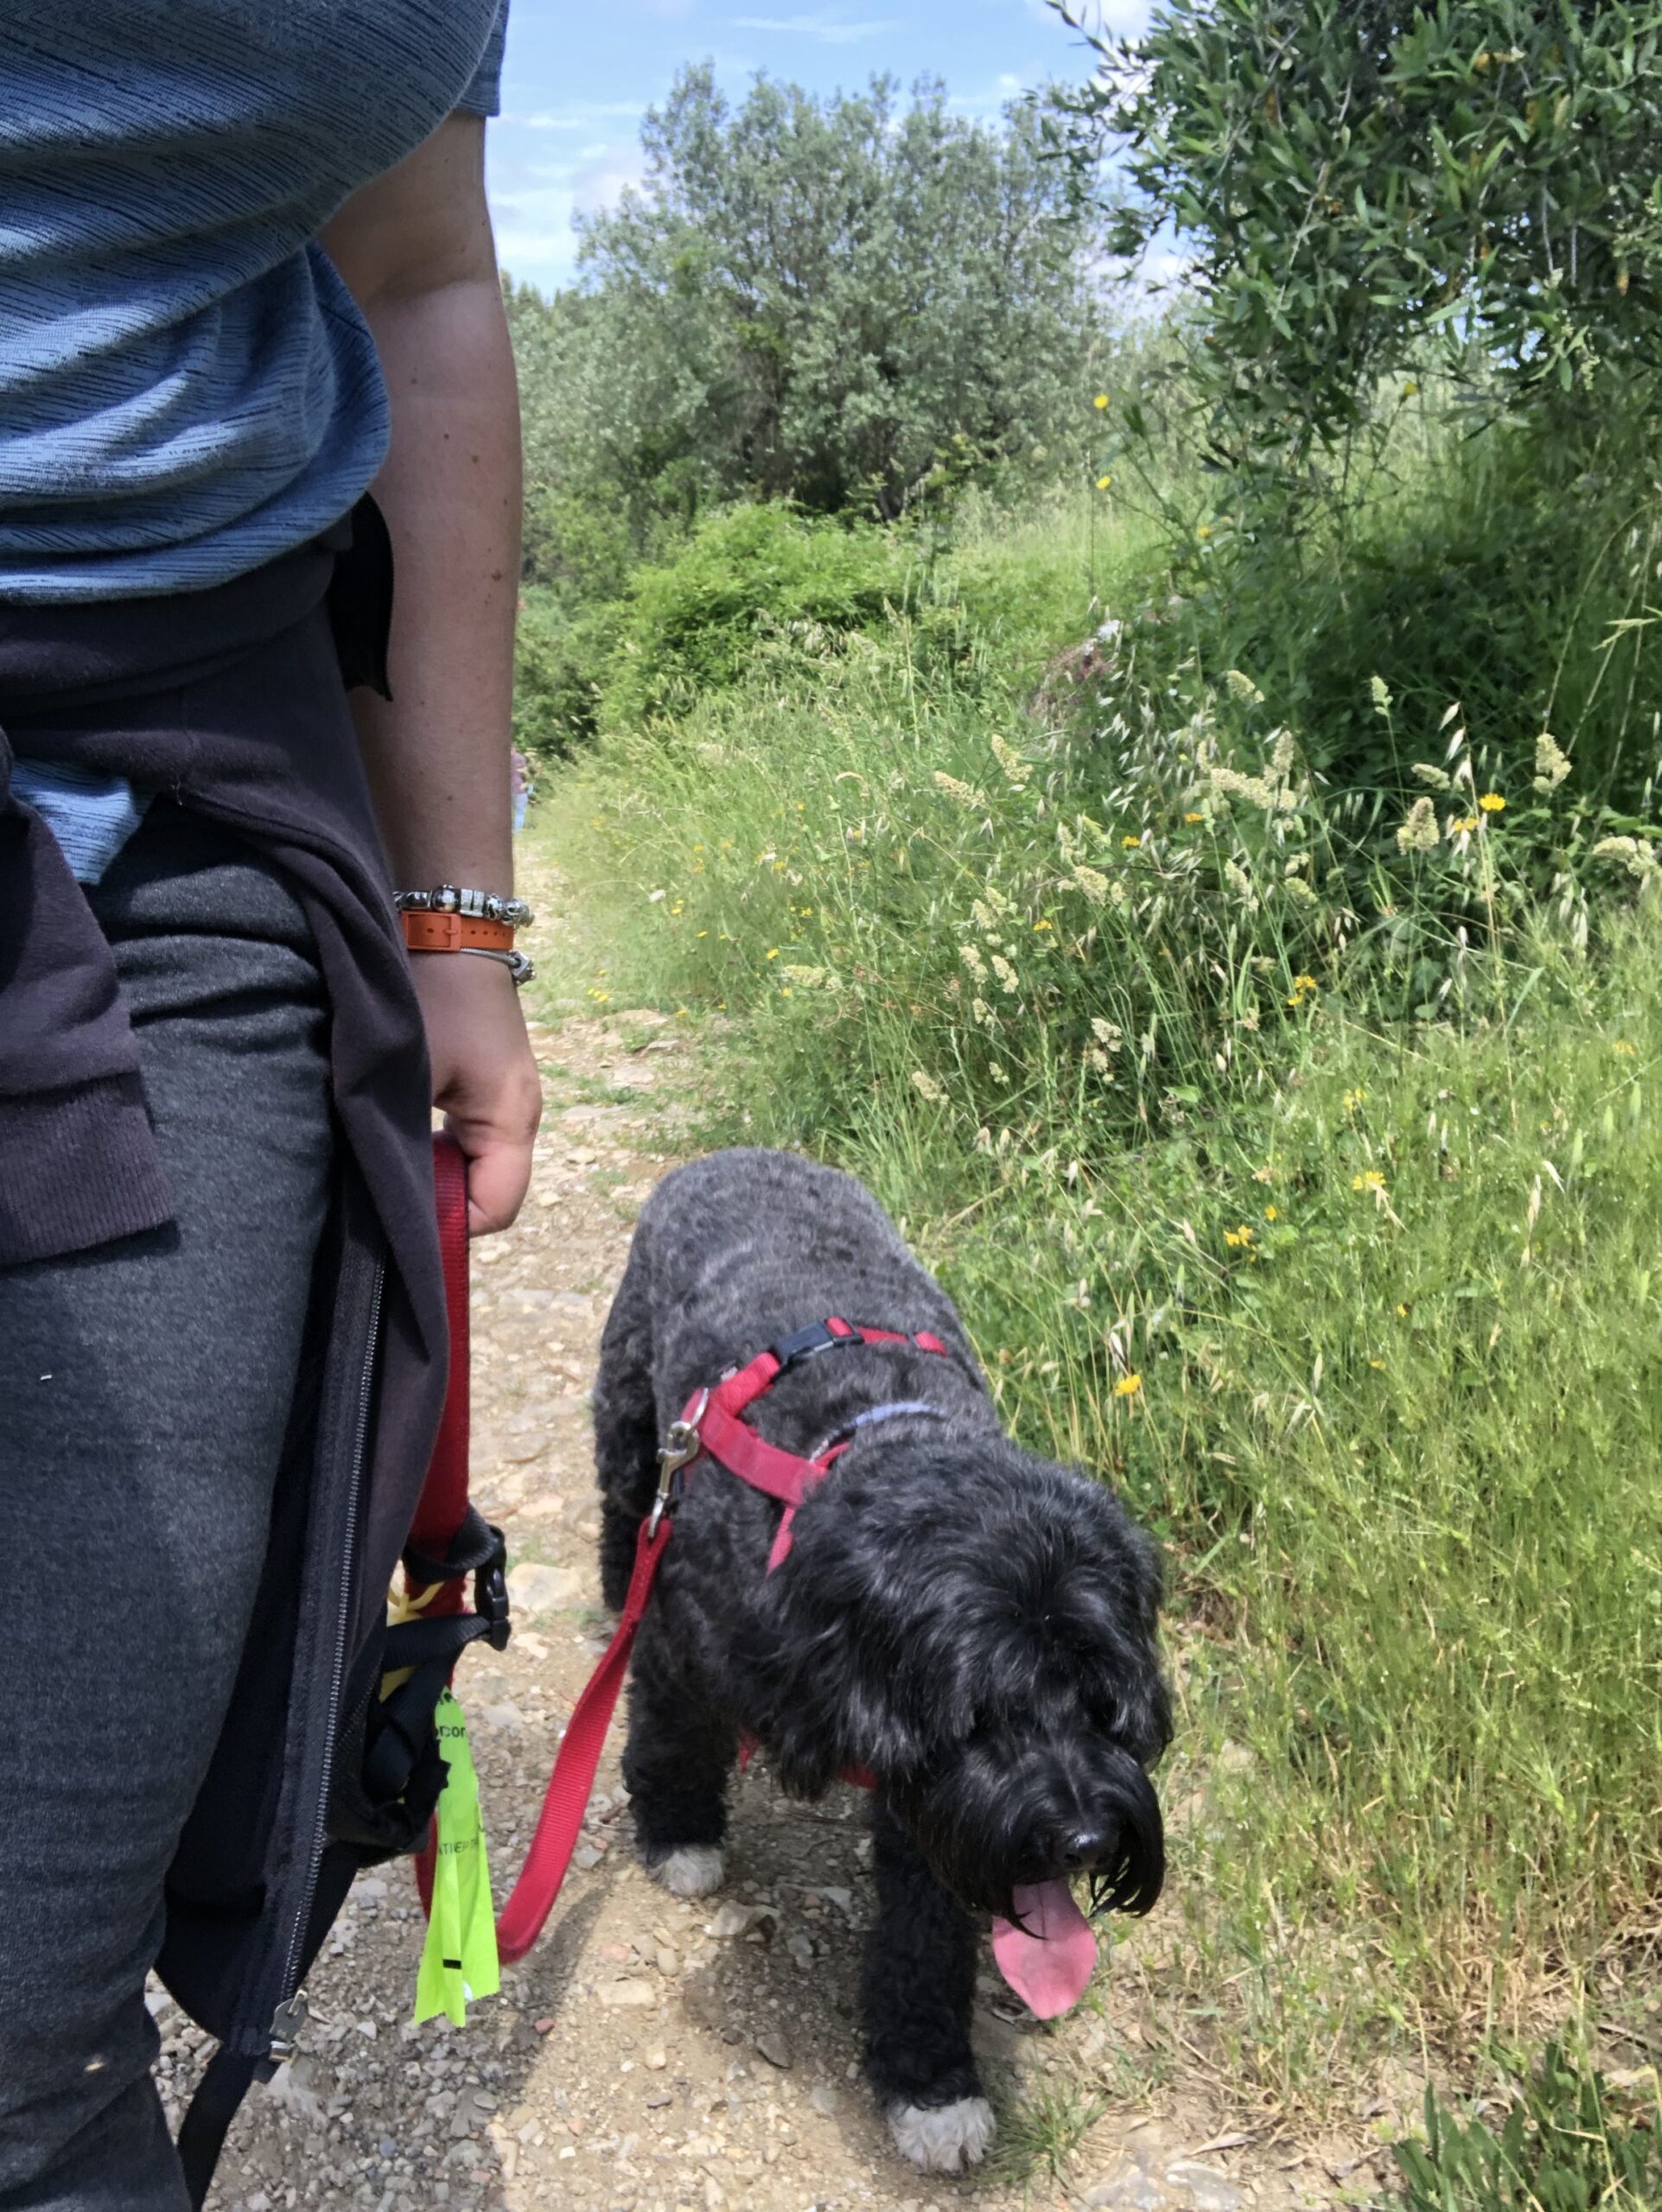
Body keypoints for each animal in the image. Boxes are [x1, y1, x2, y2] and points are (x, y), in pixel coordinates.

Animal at [592, 1149, 1170, 2171]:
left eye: (1101, 1700)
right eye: (982, 1713)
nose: (1087, 1841)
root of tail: (738, 1153)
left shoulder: (934, 1813)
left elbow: (926, 1940)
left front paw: (931, 2086)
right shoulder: (688, 1646)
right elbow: (670, 1729)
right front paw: (677, 1832)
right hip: (634, 1438)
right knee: (622, 1526)